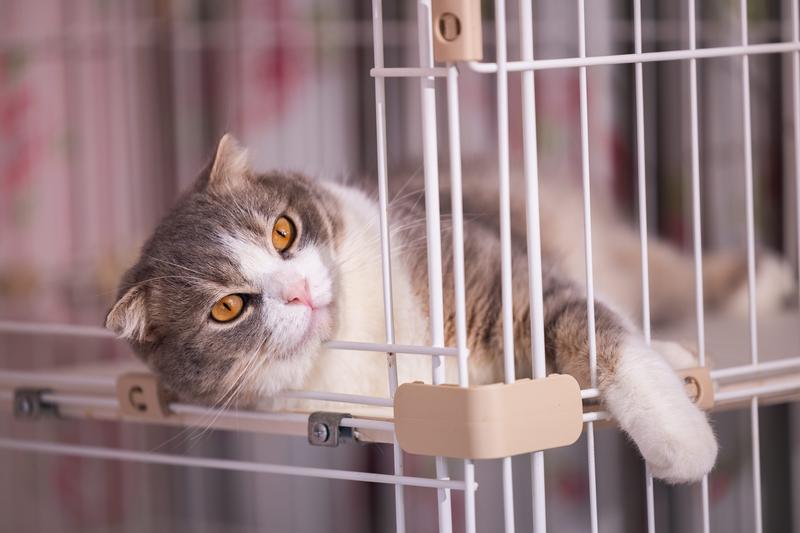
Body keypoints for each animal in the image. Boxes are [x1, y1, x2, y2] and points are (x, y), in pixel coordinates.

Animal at [106, 133, 786, 484]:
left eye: (281, 232)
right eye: (227, 308)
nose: (298, 290)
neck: (368, 341)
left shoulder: (497, 271)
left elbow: (595, 330)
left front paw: (680, 439)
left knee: (667, 275)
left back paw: (764, 283)